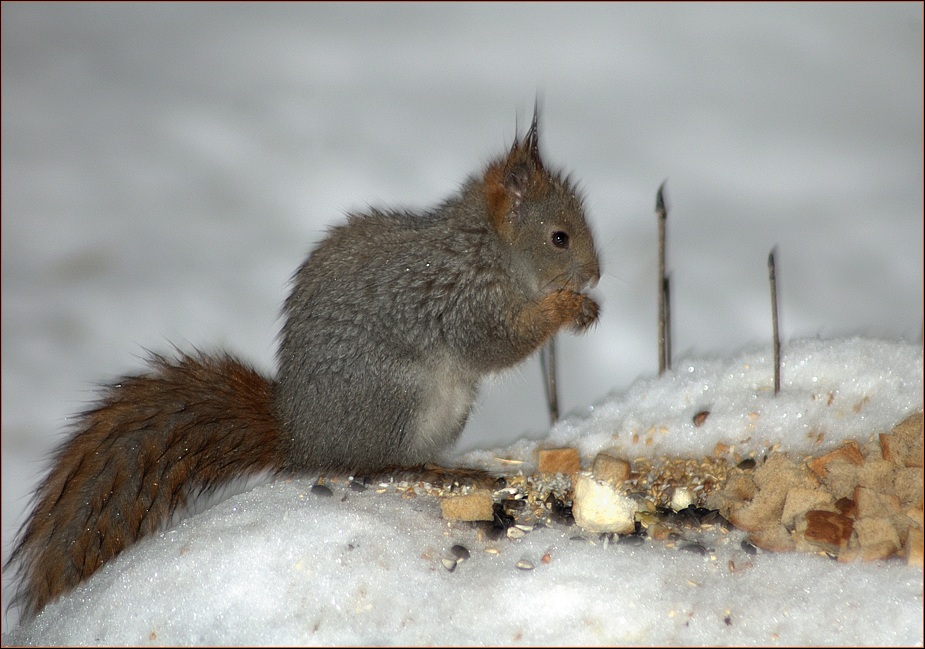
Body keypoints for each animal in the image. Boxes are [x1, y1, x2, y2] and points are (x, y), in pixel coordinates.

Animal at [7, 110, 604, 616]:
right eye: (559, 237)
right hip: (397, 397)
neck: (490, 249)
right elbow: (493, 343)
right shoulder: (459, 298)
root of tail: (301, 438)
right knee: (375, 465)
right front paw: (564, 308)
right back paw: (425, 469)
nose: (596, 275)